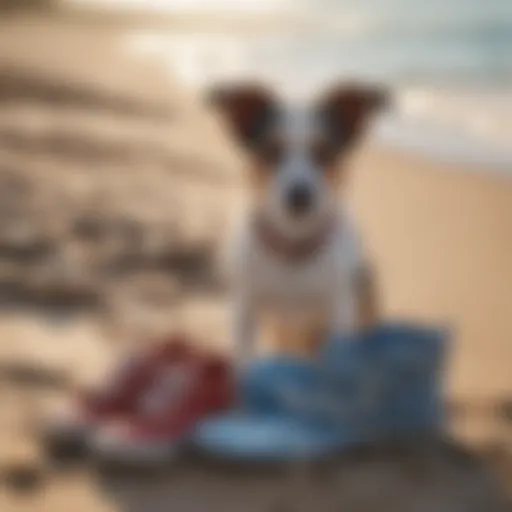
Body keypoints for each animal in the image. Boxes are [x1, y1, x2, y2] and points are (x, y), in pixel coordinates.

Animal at [208, 82, 388, 364]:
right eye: (271, 151)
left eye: (324, 152)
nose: (300, 196)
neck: (293, 248)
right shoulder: (244, 308)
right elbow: (245, 359)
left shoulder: (338, 311)